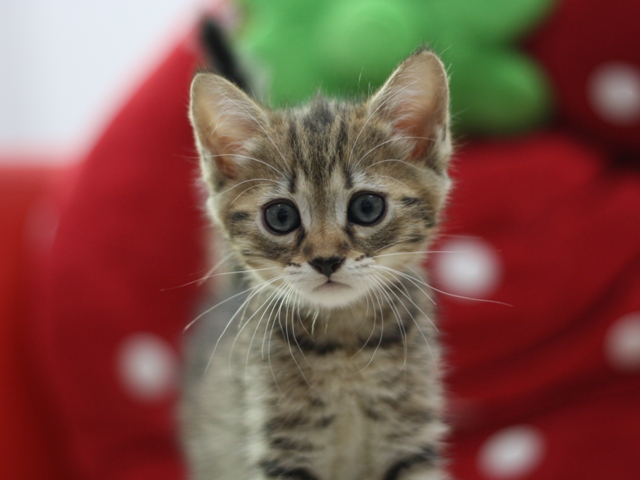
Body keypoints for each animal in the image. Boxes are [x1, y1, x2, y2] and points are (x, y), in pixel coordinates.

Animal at [181, 46, 456, 480]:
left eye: (367, 207)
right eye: (281, 216)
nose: (326, 260)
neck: (346, 346)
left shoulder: (411, 438)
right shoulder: (280, 447)